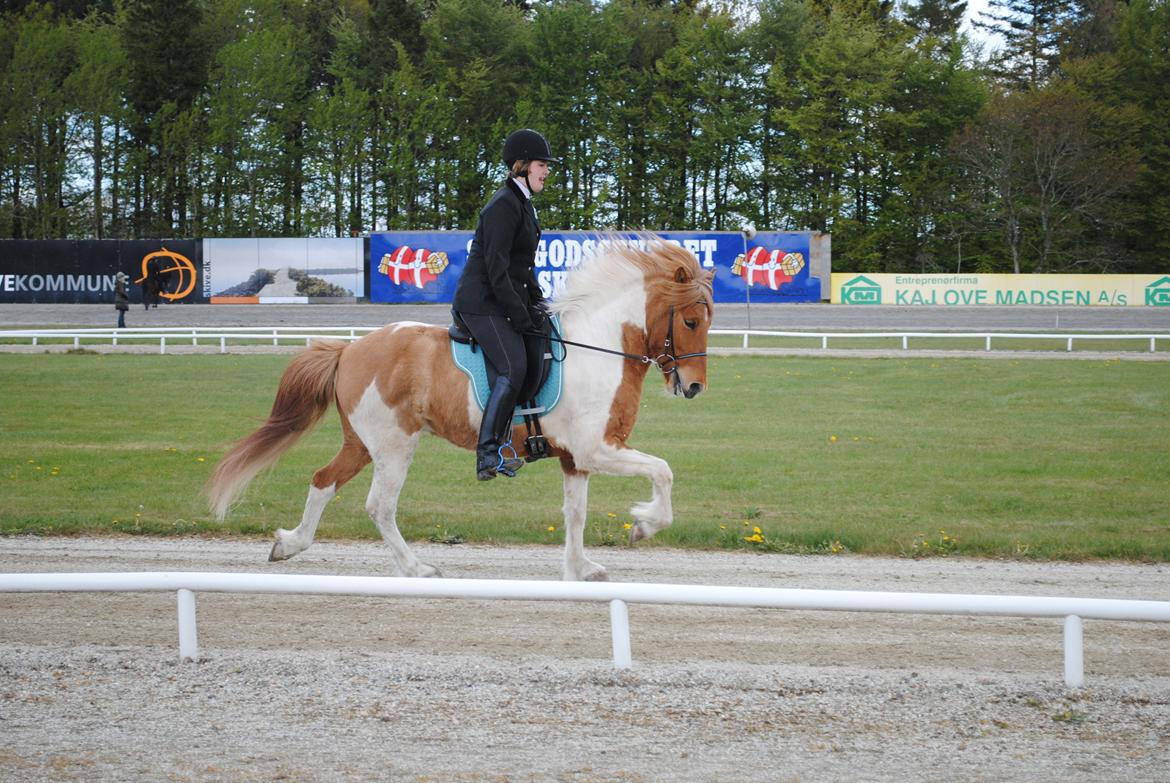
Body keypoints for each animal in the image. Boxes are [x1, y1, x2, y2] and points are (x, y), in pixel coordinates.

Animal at [207, 239, 716, 580]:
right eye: (691, 321)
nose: (694, 387)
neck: (599, 346)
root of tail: (350, 349)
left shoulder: (576, 459)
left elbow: (576, 514)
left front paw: (579, 568)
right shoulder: (597, 449)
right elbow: (663, 471)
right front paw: (644, 525)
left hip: (362, 443)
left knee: (322, 481)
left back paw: (289, 544)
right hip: (394, 445)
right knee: (379, 505)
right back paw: (417, 569)